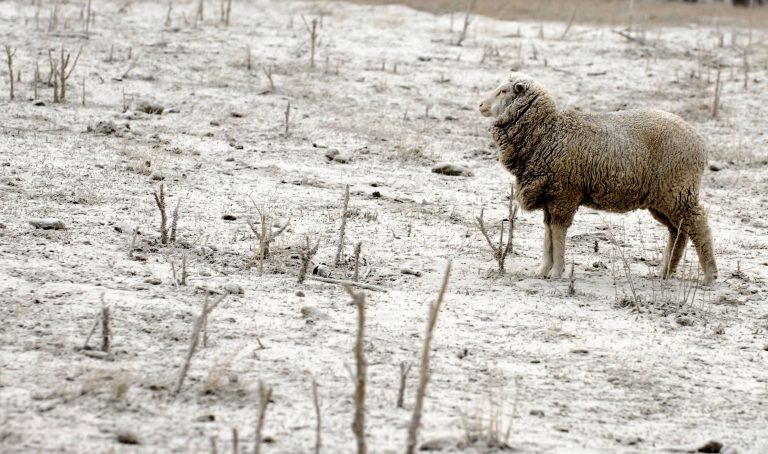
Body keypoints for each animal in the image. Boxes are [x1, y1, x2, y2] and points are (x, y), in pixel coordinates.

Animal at [480, 74, 720, 284]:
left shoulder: (564, 194)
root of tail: (700, 142)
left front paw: (556, 272)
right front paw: (543, 270)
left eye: (503, 91)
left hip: (678, 191)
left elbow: (557, 233)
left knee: (698, 224)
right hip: (663, 198)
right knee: (678, 230)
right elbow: (548, 234)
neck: (549, 132)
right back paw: (666, 272)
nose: (480, 105)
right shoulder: (550, 196)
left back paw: (709, 275)